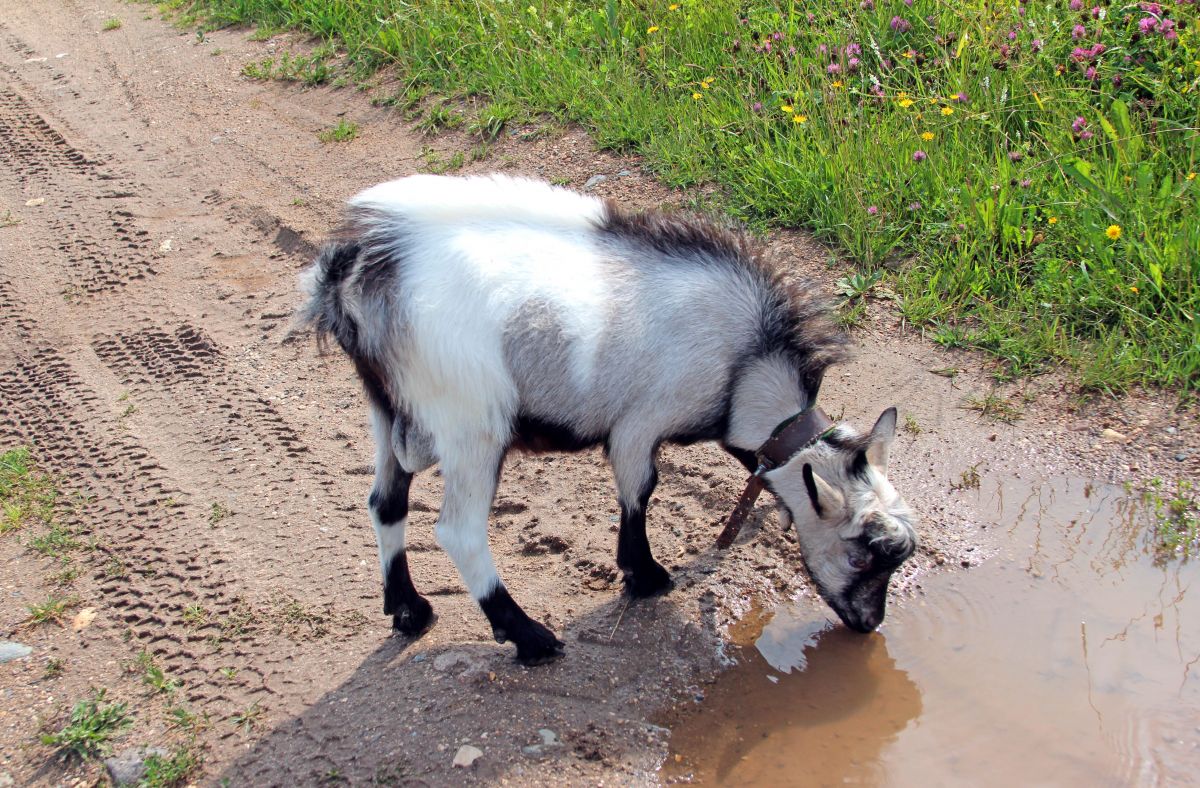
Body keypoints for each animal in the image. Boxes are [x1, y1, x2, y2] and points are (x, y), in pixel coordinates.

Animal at [300, 173, 916, 662]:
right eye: (863, 554)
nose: (871, 623)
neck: (744, 364)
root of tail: (357, 272)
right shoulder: (639, 423)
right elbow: (640, 491)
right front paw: (645, 577)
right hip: (471, 421)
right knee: (459, 530)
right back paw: (530, 638)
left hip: (387, 406)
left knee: (386, 501)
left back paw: (409, 611)